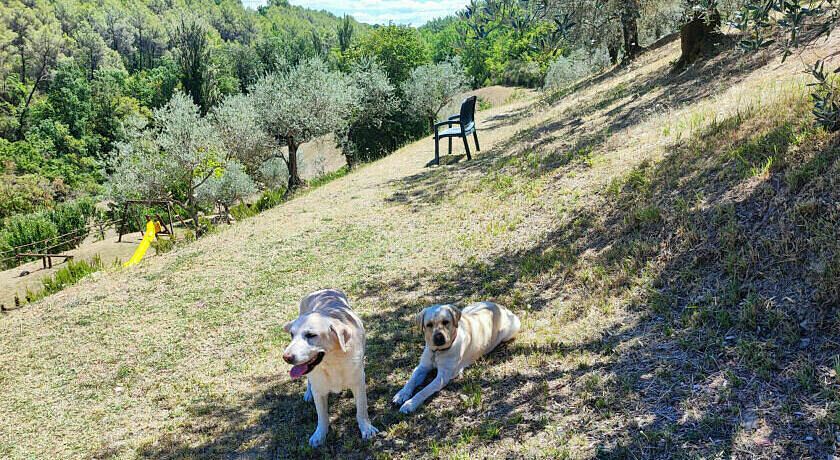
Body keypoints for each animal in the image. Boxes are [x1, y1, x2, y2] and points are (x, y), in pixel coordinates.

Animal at [282, 290, 378, 448]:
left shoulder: (359, 383)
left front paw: (366, 428)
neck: (332, 363)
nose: (286, 357)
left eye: (311, 335)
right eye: (292, 334)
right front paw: (319, 435)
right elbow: (322, 417)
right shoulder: (319, 391)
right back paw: (308, 393)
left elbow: (361, 410)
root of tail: (322, 290)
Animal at [392, 302, 520, 414]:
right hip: (467, 310)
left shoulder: (443, 376)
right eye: (429, 325)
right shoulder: (422, 367)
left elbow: (424, 390)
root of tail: (500, 306)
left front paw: (410, 404)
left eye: (446, 322)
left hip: (509, 332)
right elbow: (411, 380)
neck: (437, 352)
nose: (438, 337)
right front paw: (401, 394)